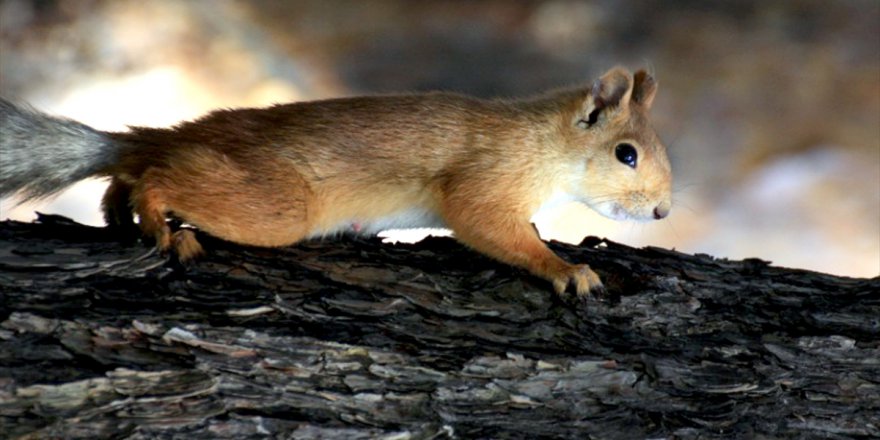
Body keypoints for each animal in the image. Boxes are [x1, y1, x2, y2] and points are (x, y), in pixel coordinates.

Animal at [1, 67, 672, 302]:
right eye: (626, 154)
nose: (664, 213)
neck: (542, 144)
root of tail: (171, 135)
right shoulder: (487, 178)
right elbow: (491, 228)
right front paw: (569, 269)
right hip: (275, 206)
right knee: (159, 177)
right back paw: (164, 224)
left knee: (128, 174)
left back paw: (124, 211)